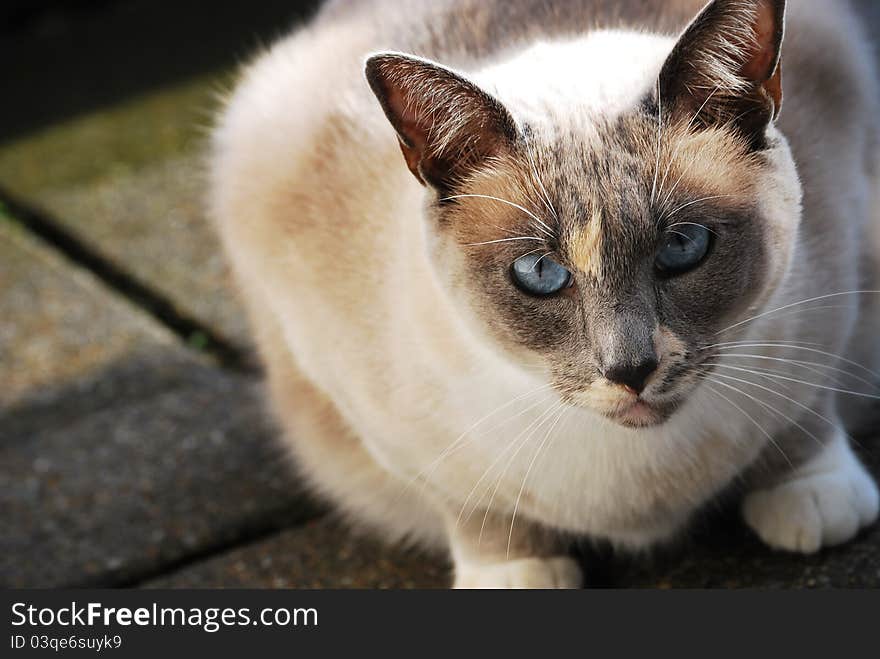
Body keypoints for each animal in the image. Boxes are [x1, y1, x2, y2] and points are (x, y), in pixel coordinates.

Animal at [210, 0, 876, 588]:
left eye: (683, 246)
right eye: (539, 273)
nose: (631, 370)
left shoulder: (829, 299)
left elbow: (803, 416)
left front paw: (813, 498)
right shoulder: (380, 421)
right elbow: (471, 506)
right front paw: (516, 572)